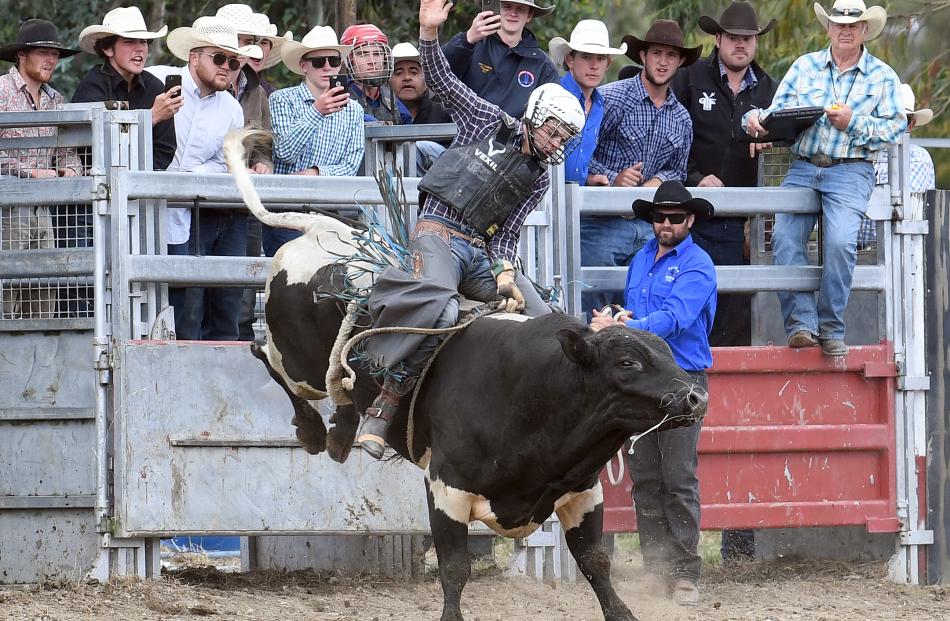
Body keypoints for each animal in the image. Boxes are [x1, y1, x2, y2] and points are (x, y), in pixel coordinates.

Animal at [227, 132, 712, 620]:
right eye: (628, 362)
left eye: (666, 351)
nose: (696, 398)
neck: (536, 392)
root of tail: (321, 230)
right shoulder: (446, 490)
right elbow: (455, 569)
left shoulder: (582, 493)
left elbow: (596, 561)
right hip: (296, 360)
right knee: (262, 352)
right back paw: (314, 429)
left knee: (336, 387)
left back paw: (344, 431)